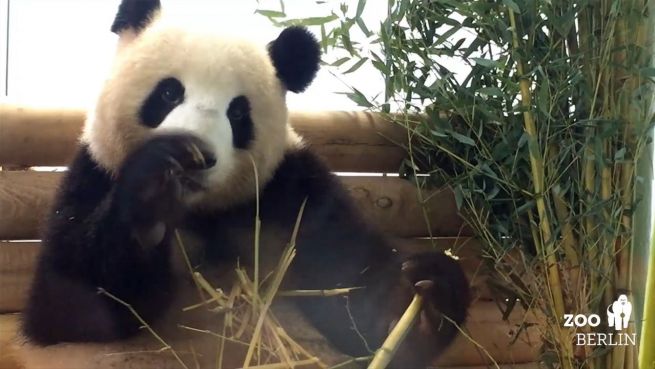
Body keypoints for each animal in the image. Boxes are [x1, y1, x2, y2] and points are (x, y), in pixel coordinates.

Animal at [16, 1, 472, 366]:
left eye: (238, 113)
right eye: (168, 93)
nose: (199, 157)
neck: (204, 212)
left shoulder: (296, 194)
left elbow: (357, 308)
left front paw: (426, 301)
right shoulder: (95, 172)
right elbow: (70, 308)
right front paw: (152, 189)